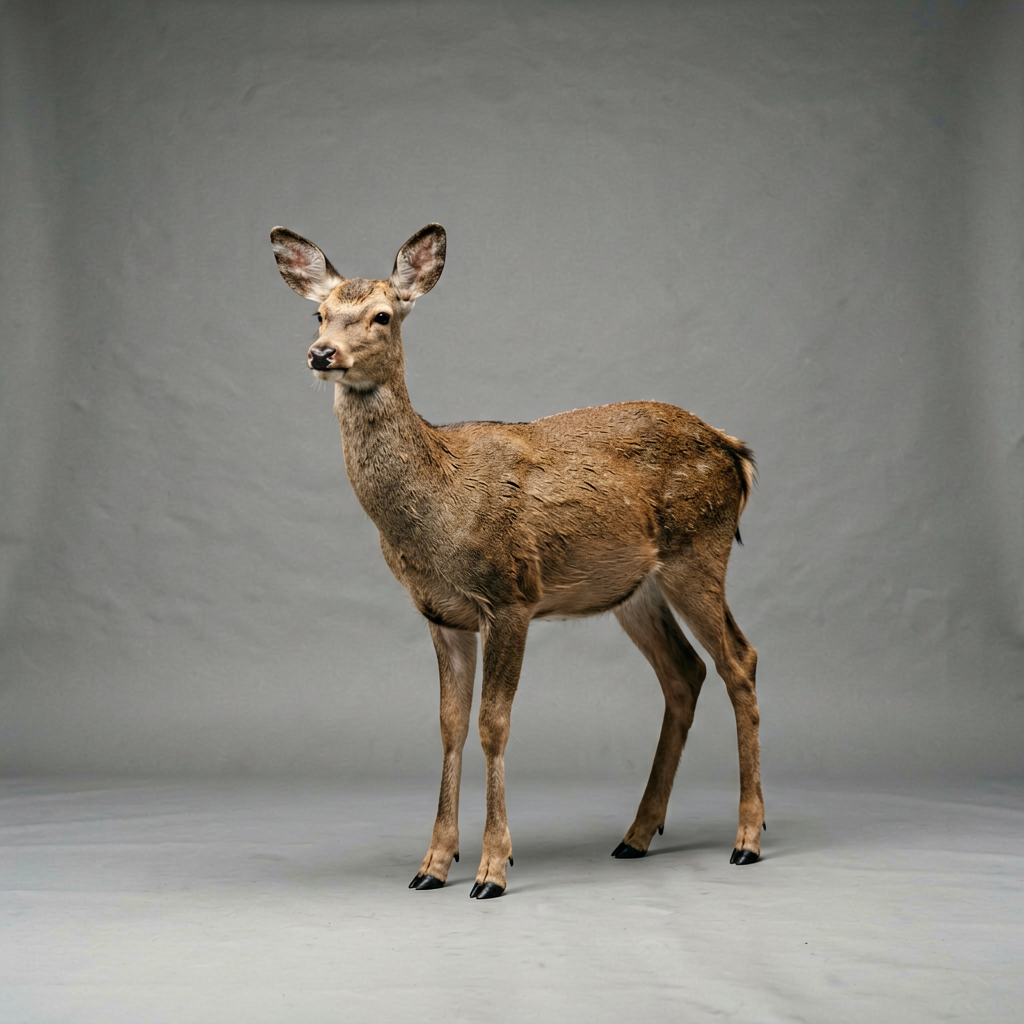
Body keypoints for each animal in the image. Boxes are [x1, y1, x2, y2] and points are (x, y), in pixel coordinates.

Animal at [269, 223, 764, 899]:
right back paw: (636, 836)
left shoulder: (510, 595)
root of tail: (734, 450)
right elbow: (450, 725)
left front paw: (492, 870)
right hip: (635, 589)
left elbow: (492, 724)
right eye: (318, 313)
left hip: (699, 550)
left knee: (740, 659)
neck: (440, 501)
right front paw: (432, 865)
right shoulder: (441, 615)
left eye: (382, 315)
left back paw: (747, 839)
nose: (322, 354)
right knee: (684, 672)